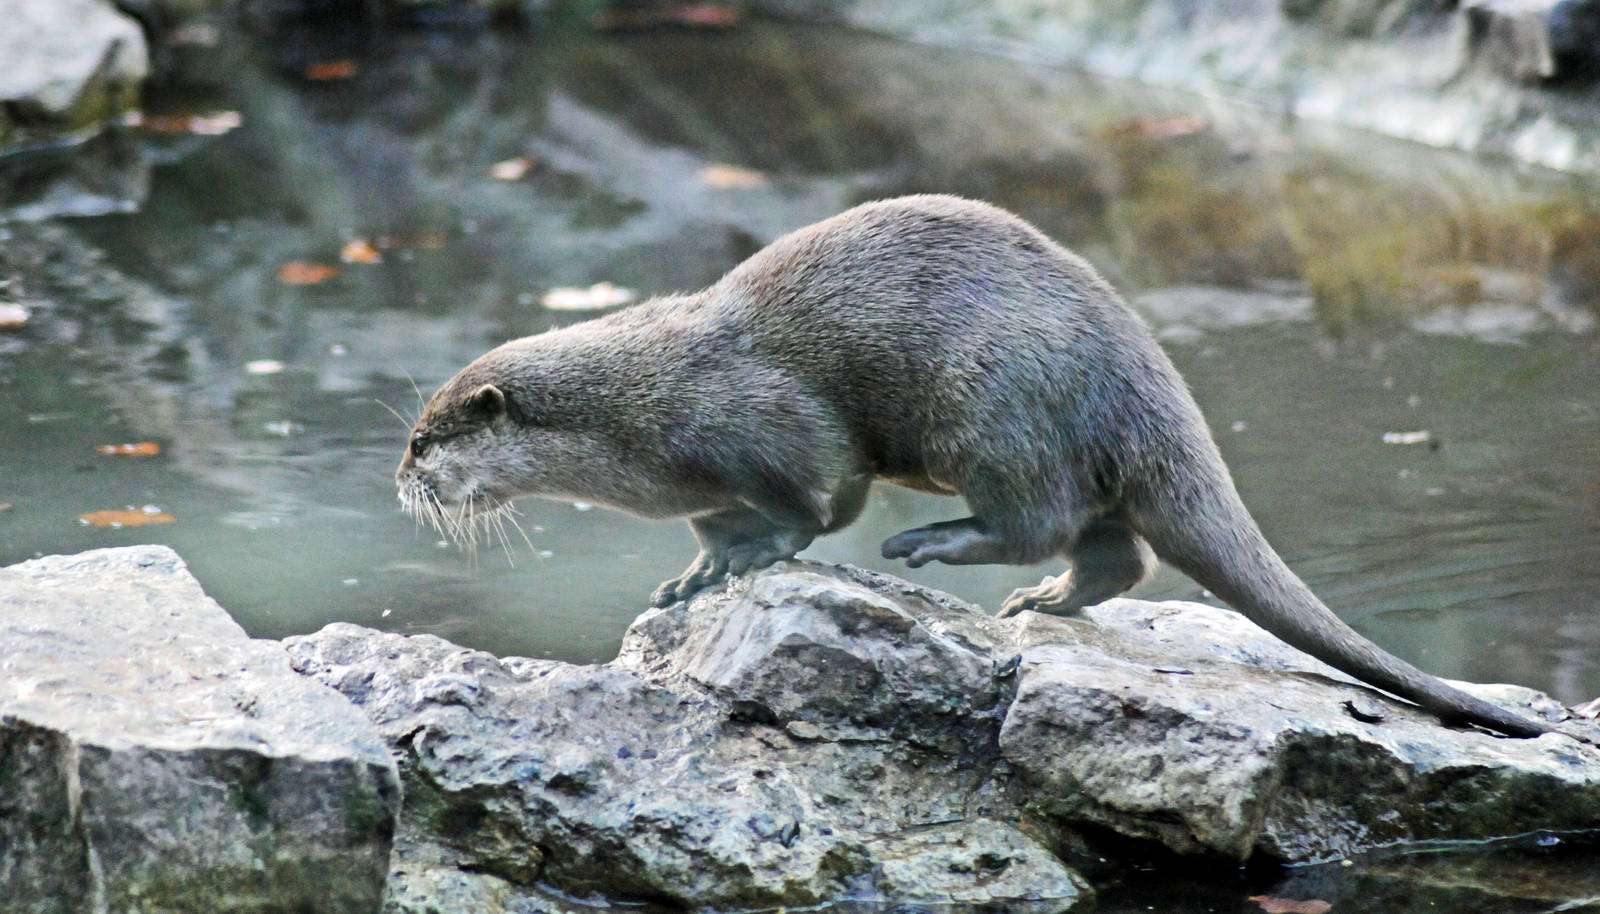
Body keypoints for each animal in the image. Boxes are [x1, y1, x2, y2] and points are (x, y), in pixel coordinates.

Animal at [397, 194, 1554, 740]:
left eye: (424, 436)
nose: (400, 476)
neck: (640, 415)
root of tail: (1144, 370)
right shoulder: (698, 484)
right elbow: (714, 533)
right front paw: (696, 576)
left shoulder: (765, 420)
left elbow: (820, 501)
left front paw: (764, 553)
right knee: (1120, 549)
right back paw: (1045, 601)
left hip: (988, 408)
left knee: (1039, 517)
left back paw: (940, 546)